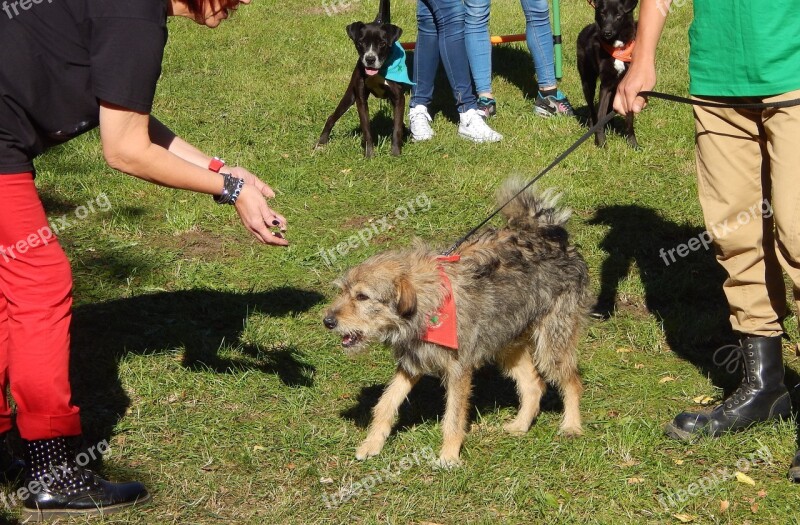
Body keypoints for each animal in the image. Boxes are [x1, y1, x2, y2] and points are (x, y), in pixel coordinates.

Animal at [314, 0, 410, 157]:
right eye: (360, 43)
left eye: (382, 43)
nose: (370, 59)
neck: (378, 71)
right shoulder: (360, 99)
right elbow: (366, 130)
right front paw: (369, 154)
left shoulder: (398, 98)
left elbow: (396, 129)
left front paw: (395, 154)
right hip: (349, 96)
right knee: (332, 117)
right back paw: (322, 142)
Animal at [322, 179, 592, 462]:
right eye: (343, 291)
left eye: (362, 296)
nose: (327, 321)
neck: (428, 302)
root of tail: (551, 237)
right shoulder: (412, 362)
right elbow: (386, 403)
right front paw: (372, 443)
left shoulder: (459, 370)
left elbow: (452, 417)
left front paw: (449, 456)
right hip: (506, 342)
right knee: (533, 385)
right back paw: (520, 425)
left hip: (553, 344)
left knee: (573, 382)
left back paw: (571, 425)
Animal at [580, 0, 640, 147]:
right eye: (602, 14)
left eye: (618, 15)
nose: (606, 32)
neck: (617, 48)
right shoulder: (605, 85)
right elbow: (601, 114)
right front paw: (601, 141)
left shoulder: (626, 86)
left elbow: (629, 118)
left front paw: (633, 143)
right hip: (587, 82)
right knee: (593, 110)